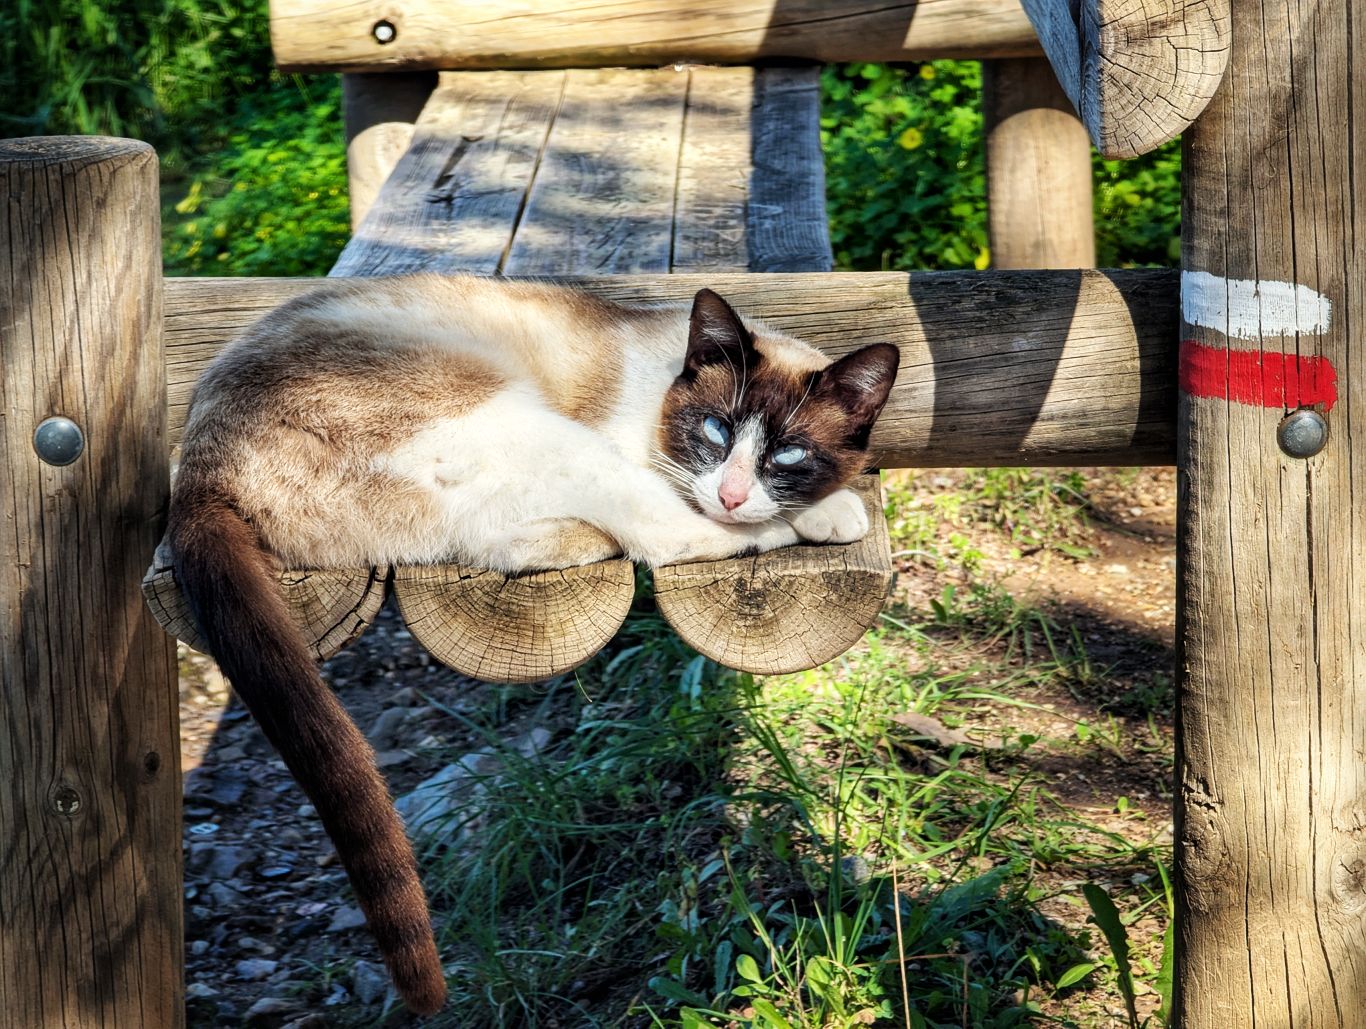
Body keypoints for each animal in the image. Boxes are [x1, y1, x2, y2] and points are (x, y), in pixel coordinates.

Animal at [168, 273, 896, 1011]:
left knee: (511, 542)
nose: (733, 493)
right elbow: (689, 516)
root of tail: (199, 471)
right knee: (668, 537)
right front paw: (821, 514)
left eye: (789, 454)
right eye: (717, 430)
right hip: (533, 429)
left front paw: (823, 505)